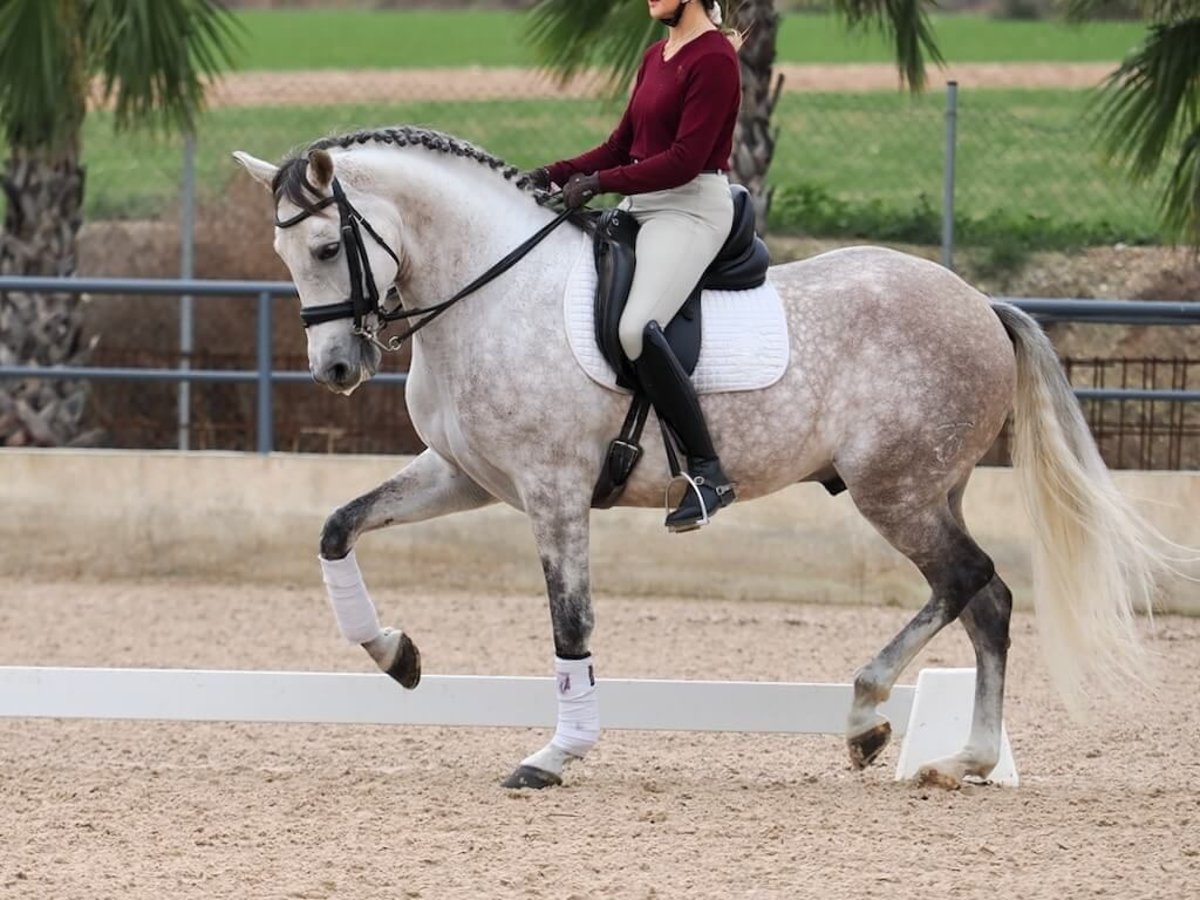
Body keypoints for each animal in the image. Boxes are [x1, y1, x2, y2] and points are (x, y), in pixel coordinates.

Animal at [229, 127, 1166, 787]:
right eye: (285, 255)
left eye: (325, 249)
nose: (337, 369)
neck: (492, 289)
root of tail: (979, 302)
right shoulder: (464, 476)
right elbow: (337, 528)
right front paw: (396, 655)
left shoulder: (553, 491)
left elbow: (570, 623)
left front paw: (557, 754)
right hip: (931, 489)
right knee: (986, 599)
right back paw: (962, 759)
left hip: (896, 491)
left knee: (968, 581)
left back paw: (869, 715)